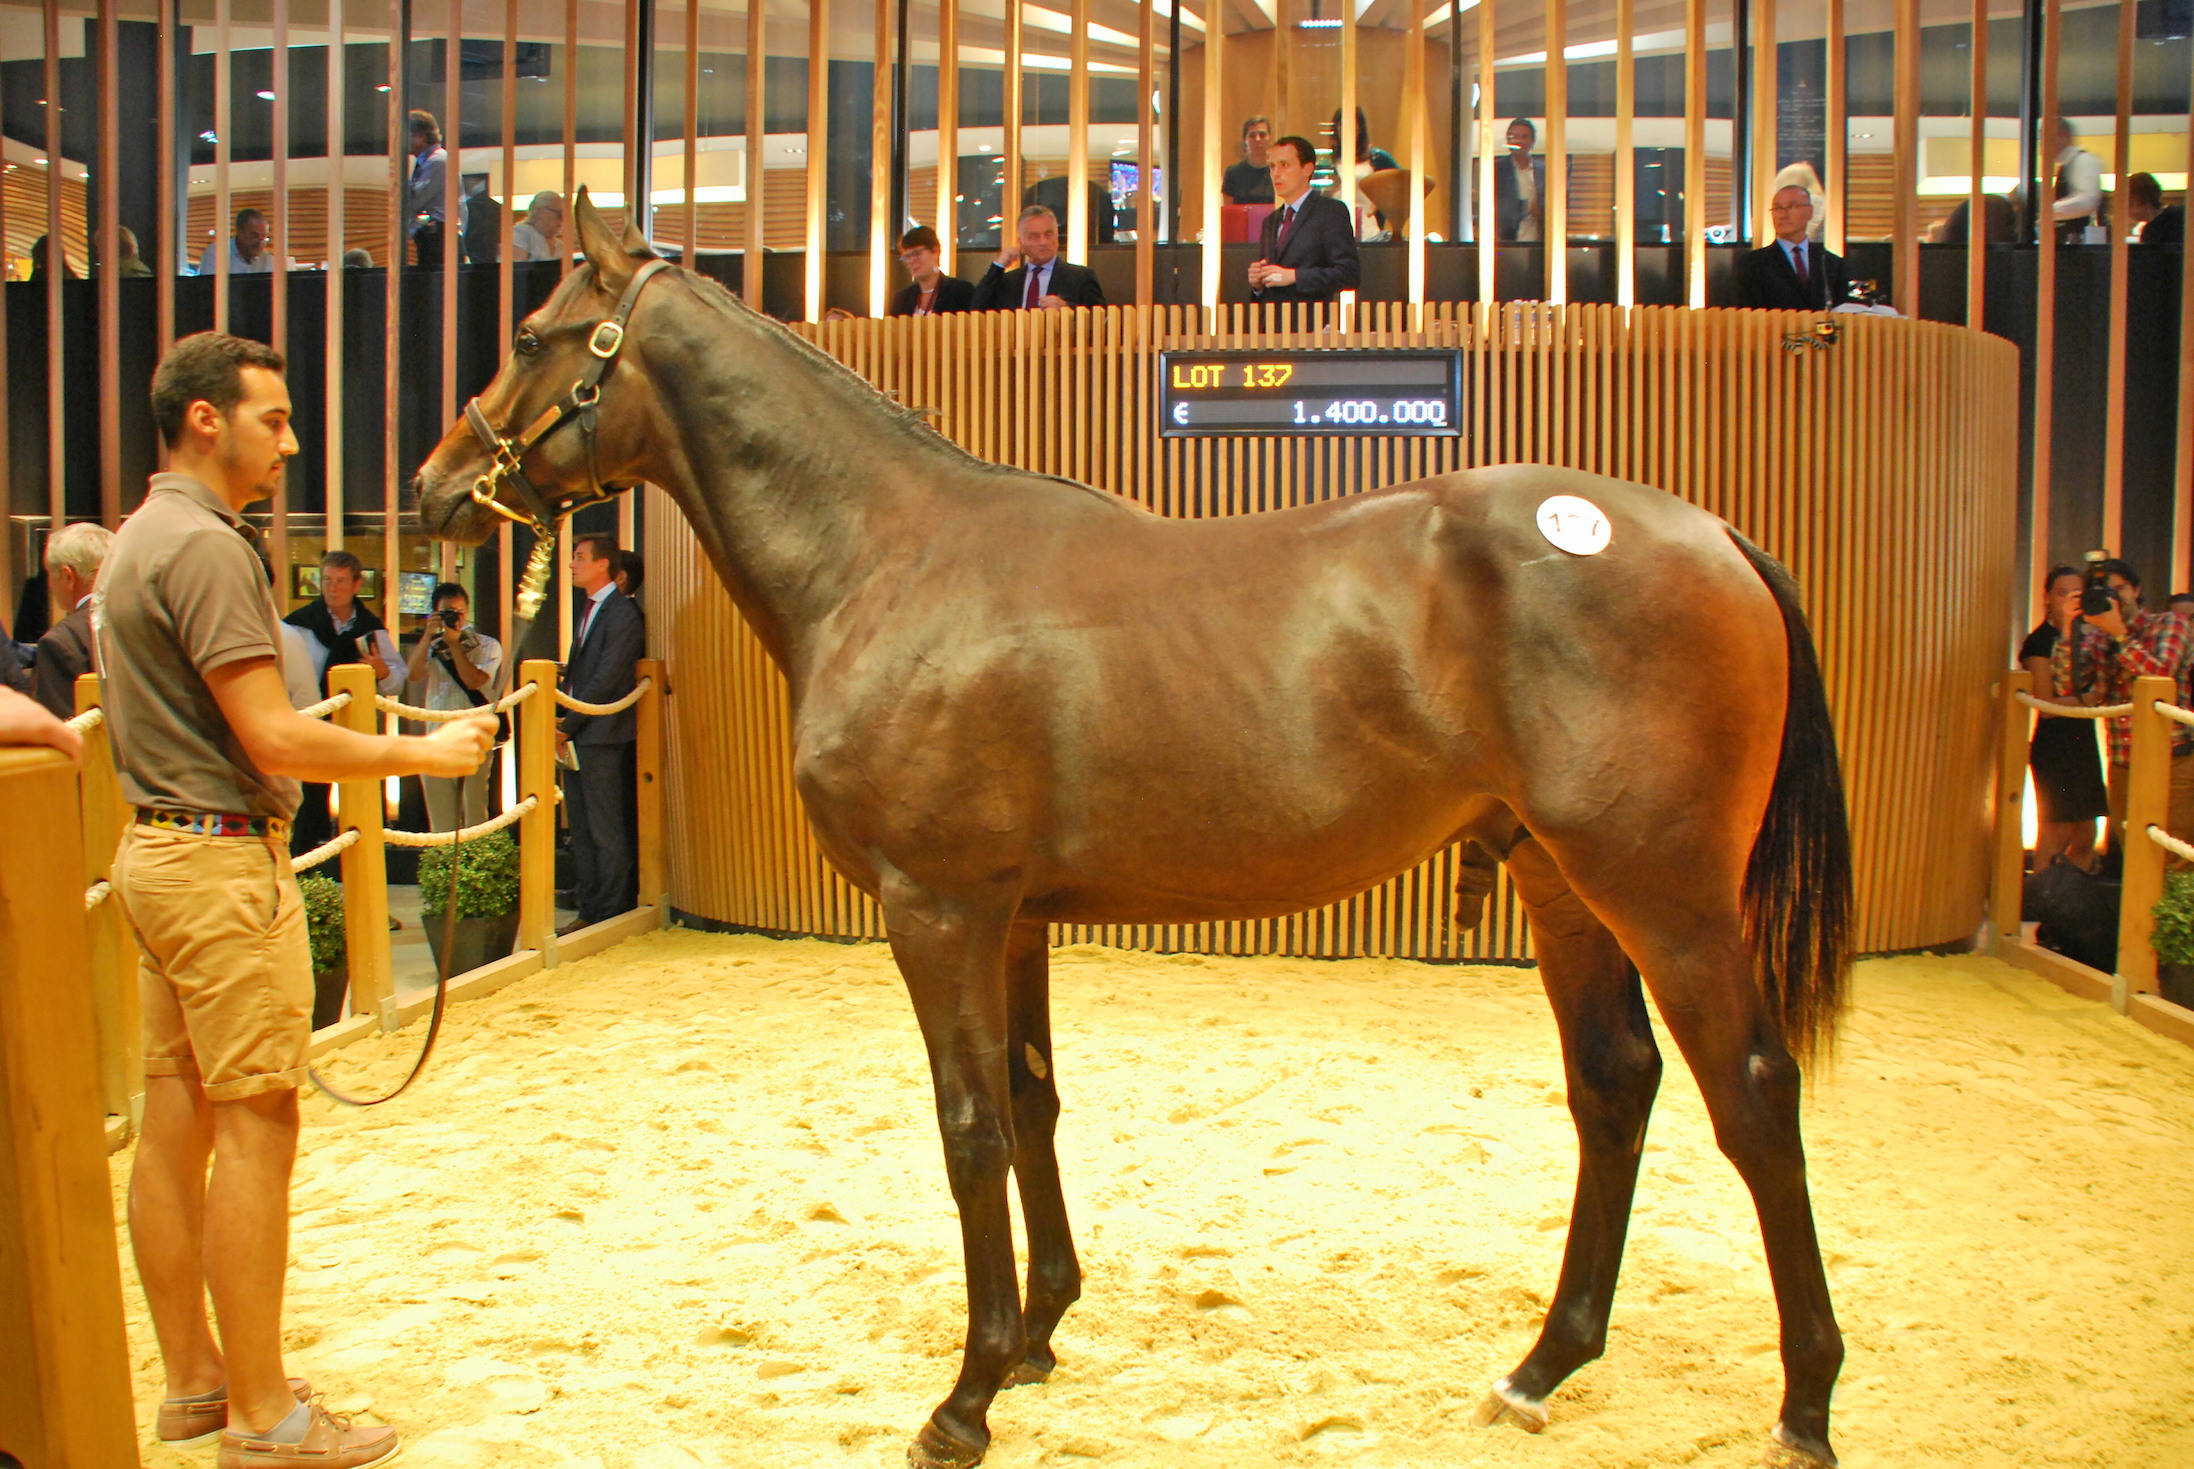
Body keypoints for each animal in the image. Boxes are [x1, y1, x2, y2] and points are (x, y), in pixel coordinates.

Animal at [414, 195, 1851, 1469]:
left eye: (536, 329)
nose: (435, 485)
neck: (887, 561)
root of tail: (1711, 533)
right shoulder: (1011, 920)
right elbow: (1033, 1102)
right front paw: (1039, 1336)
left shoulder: (936, 909)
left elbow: (969, 1128)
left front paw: (965, 1397)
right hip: (1564, 888)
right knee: (1615, 1086)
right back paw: (1542, 1365)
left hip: (1663, 897)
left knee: (1752, 1096)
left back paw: (1803, 1404)